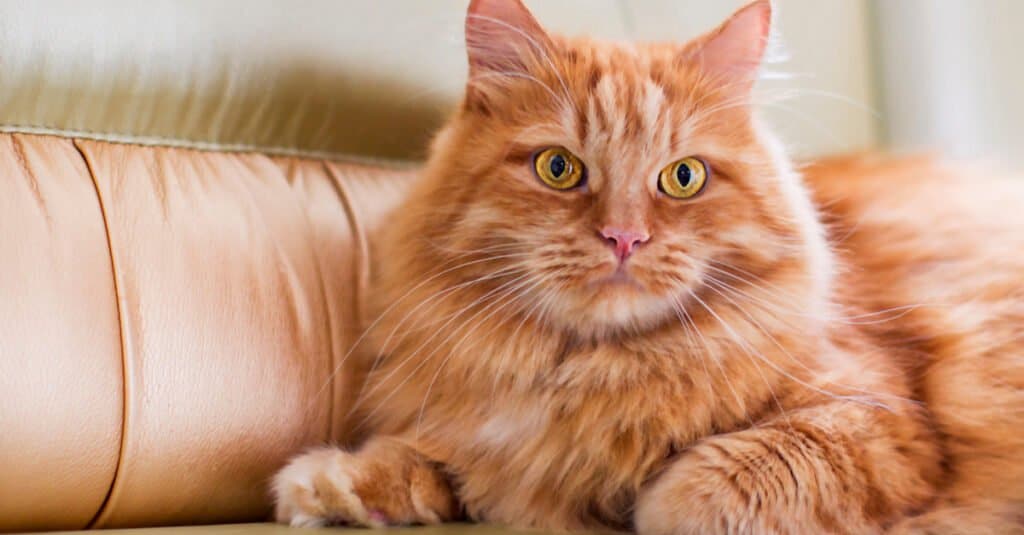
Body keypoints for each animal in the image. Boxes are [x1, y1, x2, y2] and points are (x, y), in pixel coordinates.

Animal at [270, 2, 1024, 528]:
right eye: (558, 168)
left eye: (683, 177)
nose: (624, 237)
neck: (594, 371)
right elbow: (430, 456)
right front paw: (336, 485)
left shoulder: (880, 423)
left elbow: (696, 487)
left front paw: (636, 499)